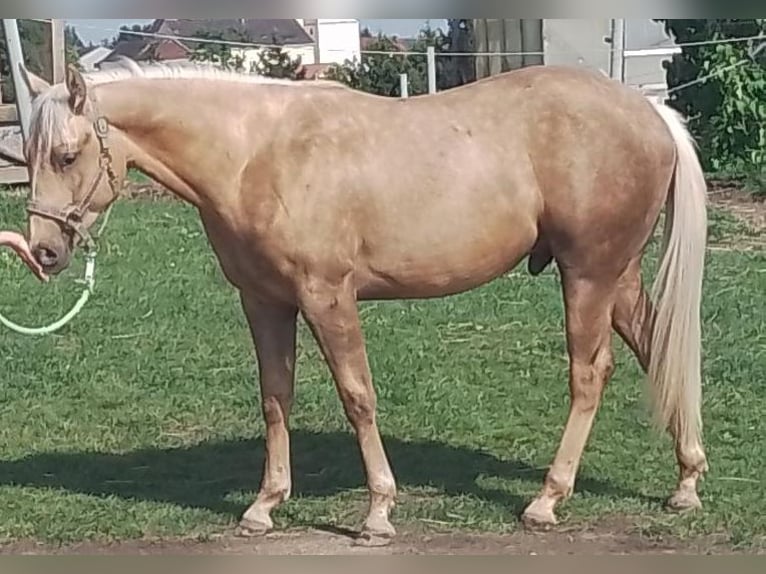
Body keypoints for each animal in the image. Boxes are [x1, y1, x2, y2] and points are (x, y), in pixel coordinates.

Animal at [18, 60, 712, 548]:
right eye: (25, 155)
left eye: (67, 155)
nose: (44, 251)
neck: (256, 154)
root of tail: (650, 111)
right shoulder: (264, 302)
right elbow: (275, 399)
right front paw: (264, 506)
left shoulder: (328, 297)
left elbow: (358, 396)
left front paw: (378, 511)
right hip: (616, 277)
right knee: (656, 350)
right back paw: (685, 482)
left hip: (588, 275)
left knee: (590, 375)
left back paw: (547, 499)